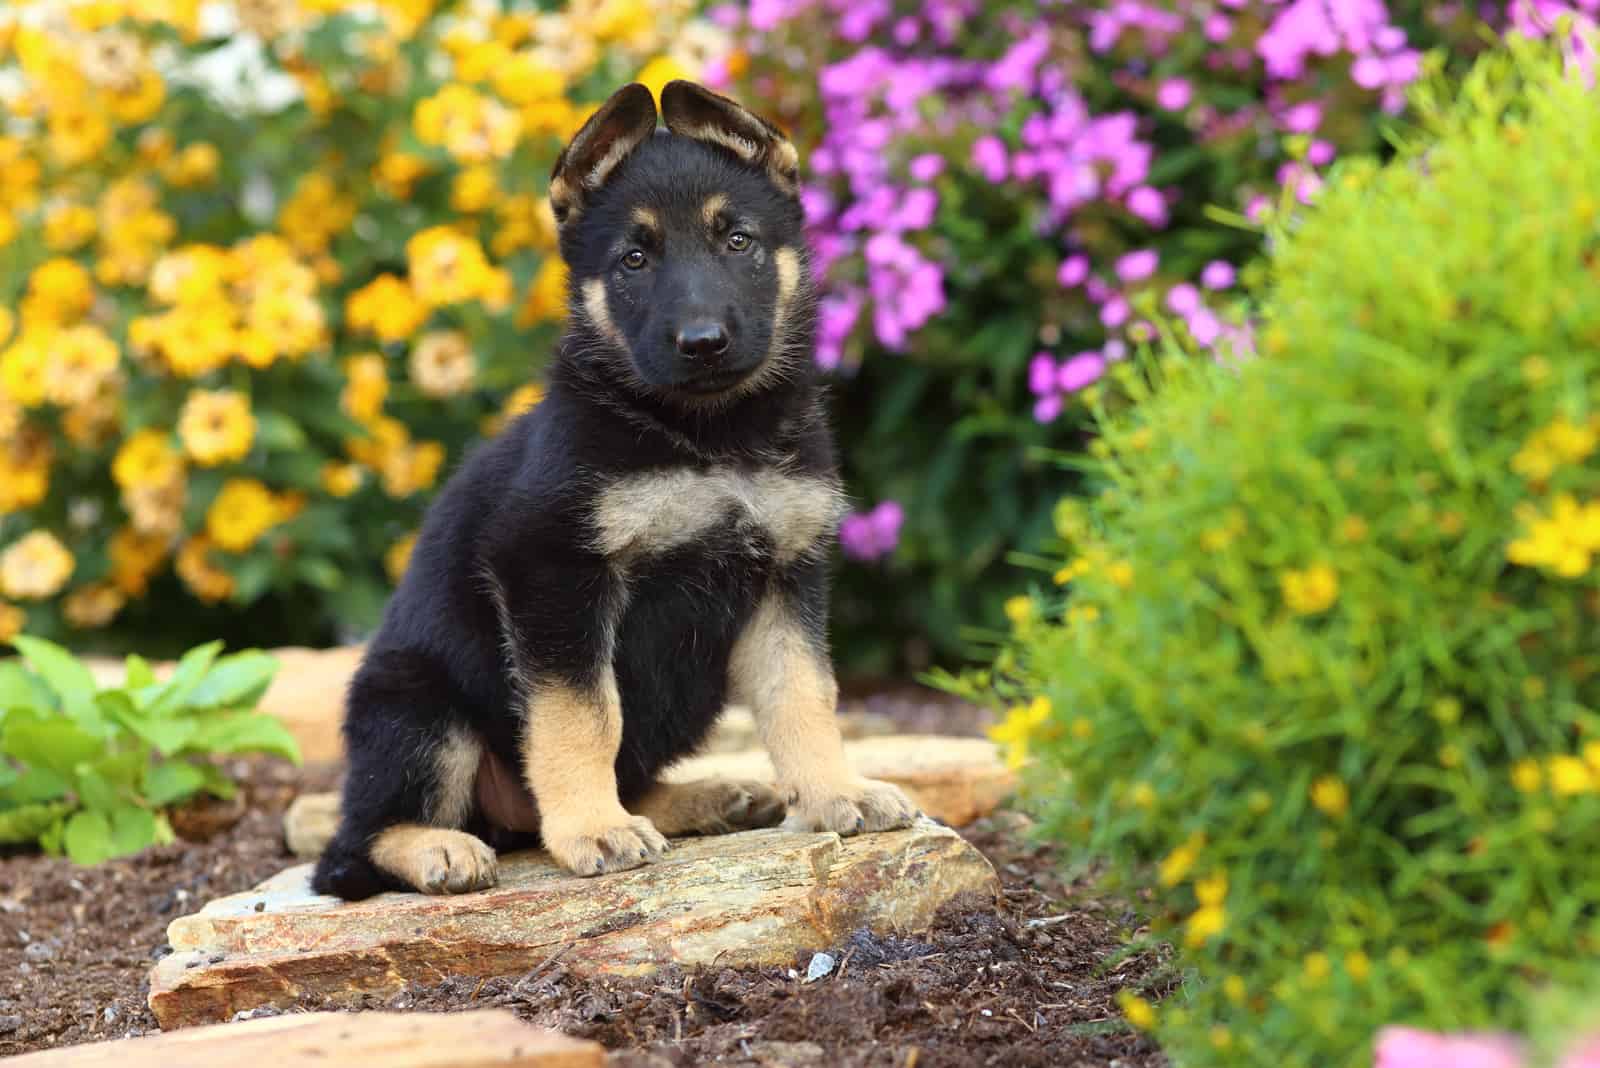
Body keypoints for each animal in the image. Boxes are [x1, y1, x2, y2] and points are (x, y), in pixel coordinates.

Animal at [312, 83, 915, 901]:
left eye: (739, 241)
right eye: (634, 259)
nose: (703, 342)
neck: (704, 436)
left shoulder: (787, 573)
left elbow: (805, 695)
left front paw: (834, 792)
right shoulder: (552, 571)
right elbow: (584, 714)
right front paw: (592, 829)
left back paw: (703, 798)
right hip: (418, 707)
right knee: (352, 850)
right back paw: (442, 846)